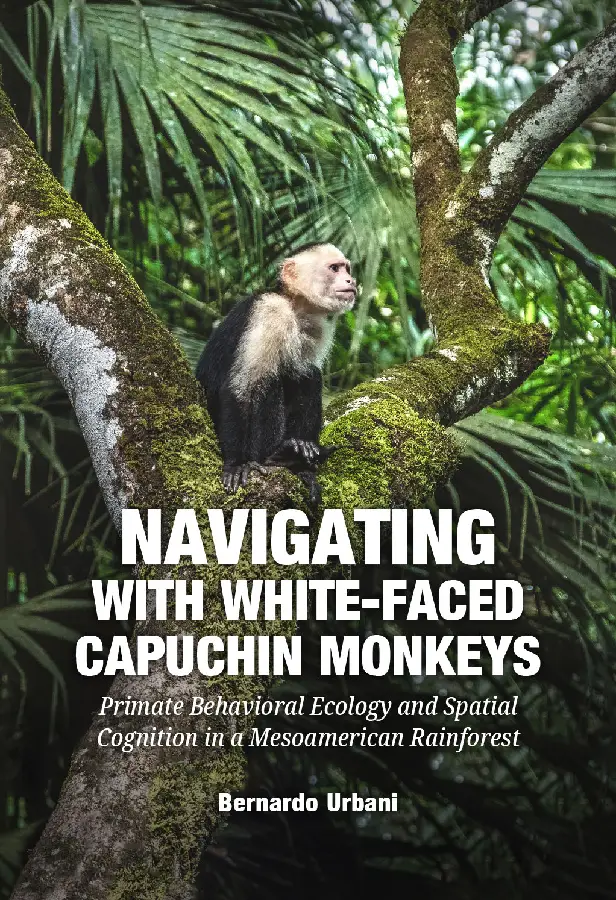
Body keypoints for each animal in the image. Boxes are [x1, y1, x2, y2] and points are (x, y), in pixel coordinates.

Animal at [196, 243, 357, 500]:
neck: (293, 304)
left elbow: (302, 373)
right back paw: (272, 456)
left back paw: (299, 454)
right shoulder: (271, 311)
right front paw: (235, 464)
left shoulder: (316, 327)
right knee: (267, 380)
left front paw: (305, 466)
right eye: (334, 268)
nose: (351, 280)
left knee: (307, 375)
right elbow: (242, 387)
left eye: (347, 269)